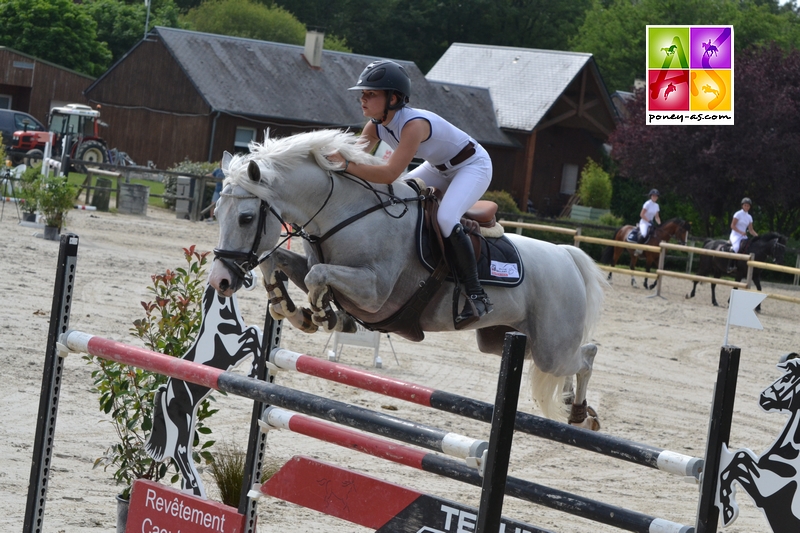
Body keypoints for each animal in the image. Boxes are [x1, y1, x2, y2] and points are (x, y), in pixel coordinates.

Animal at [206, 129, 608, 428]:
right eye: (216, 212)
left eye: (245, 217)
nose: (220, 282)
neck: (345, 211)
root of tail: (566, 256)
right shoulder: (316, 269)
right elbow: (279, 262)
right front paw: (291, 309)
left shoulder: (375, 293)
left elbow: (321, 277)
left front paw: (323, 314)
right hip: (506, 341)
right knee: (569, 360)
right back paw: (575, 407)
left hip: (550, 348)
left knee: (586, 356)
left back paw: (580, 413)